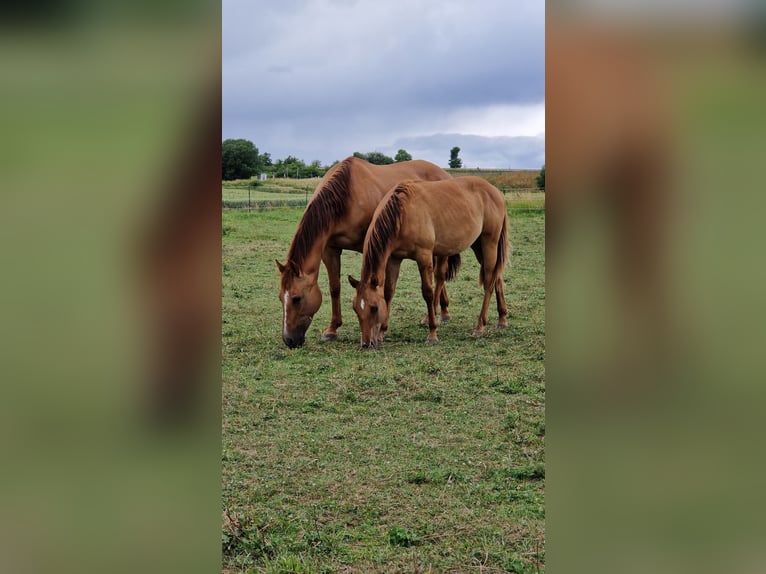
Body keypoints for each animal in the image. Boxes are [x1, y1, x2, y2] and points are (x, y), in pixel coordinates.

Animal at [275, 157, 453, 348]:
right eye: (280, 298)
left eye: (297, 298)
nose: (289, 340)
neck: (345, 195)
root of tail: (444, 174)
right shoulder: (330, 249)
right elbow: (334, 287)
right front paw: (332, 329)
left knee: (439, 275)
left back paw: (437, 314)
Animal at [348, 176, 509, 348]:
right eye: (355, 308)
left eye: (374, 308)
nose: (366, 343)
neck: (402, 213)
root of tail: (495, 191)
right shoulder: (394, 259)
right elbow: (389, 292)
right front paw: (381, 333)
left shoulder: (424, 257)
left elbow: (427, 293)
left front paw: (432, 333)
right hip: (478, 246)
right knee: (497, 277)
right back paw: (502, 319)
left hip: (489, 243)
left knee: (489, 282)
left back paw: (480, 326)